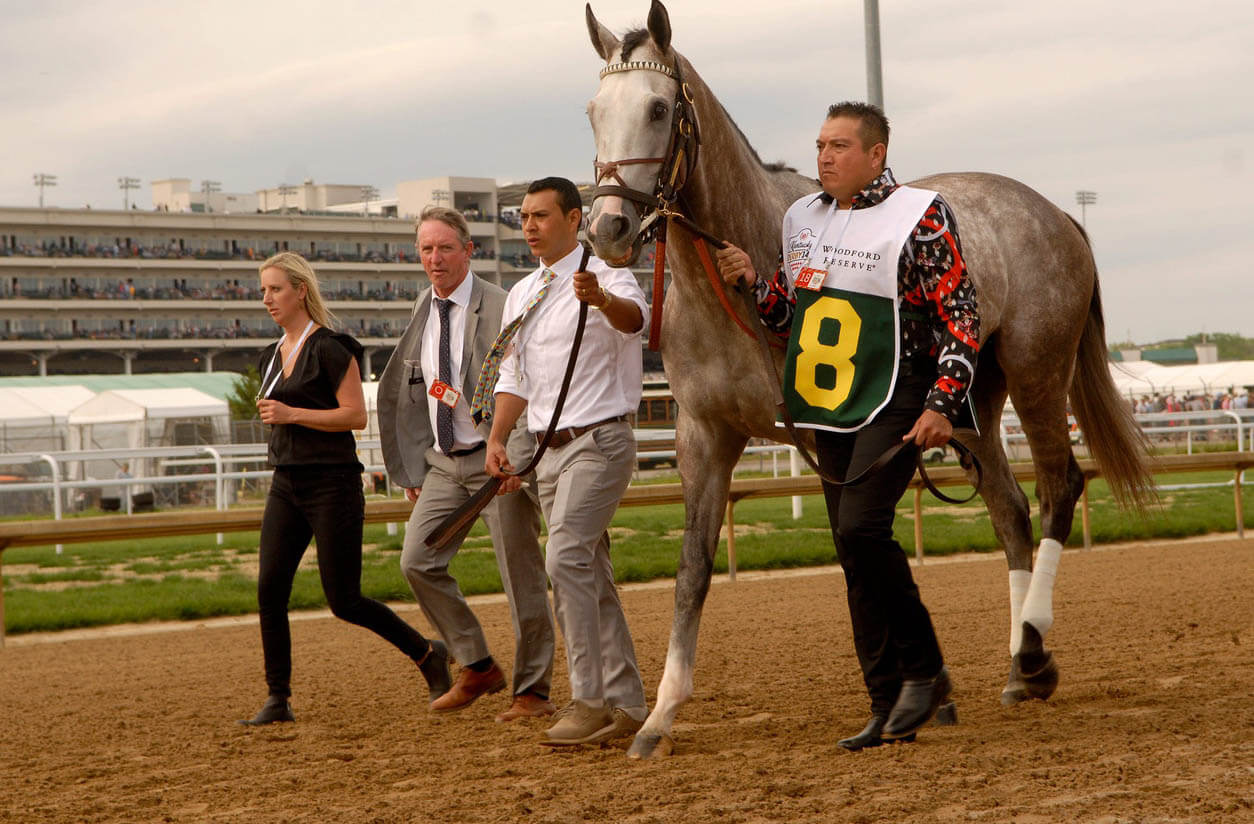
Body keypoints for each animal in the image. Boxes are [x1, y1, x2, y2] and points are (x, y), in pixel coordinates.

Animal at [581, 0, 1148, 757]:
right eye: (594, 110)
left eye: (659, 107)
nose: (609, 227)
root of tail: (1057, 214)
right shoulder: (704, 436)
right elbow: (694, 568)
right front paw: (659, 716)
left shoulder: (831, 435)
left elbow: (861, 555)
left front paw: (919, 693)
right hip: (970, 403)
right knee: (1008, 509)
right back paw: (1016, 669)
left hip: (1037, 375)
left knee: (1058, 489)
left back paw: (1032, 653)